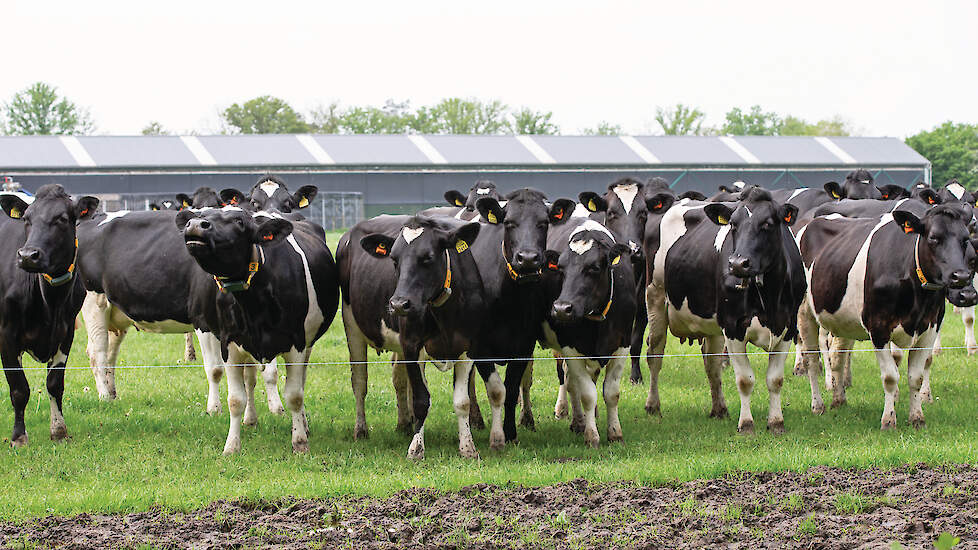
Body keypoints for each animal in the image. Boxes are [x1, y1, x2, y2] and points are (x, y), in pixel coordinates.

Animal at [0, 185, 97, 448]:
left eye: (61, 219)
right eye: (26, 219)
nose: (27, 255)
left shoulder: (66, 332)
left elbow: (55, 384)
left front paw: (59, 430)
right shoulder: (6, 333)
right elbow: (19, 388)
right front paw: (18, 437)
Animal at [175, 205, 340, 454]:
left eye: (239, 221)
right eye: (203, 214)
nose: (195, 225)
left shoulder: (297, 344)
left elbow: (294, 396)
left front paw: (300, 442)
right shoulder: (230, 345)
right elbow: (235, 399)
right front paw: (231, 446)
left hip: (308, 343)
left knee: (299, 381)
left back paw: (302, 424)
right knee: (250, 380)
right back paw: (250, 419)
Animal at [536, 217, 636, 448]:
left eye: (594, 267)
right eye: (560, 268)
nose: (561, 308)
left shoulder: (623, 345)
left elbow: (611, 393)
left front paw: (615, 433)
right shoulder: (570, 347)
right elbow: (587, 394)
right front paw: (592, 436)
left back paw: (578, 421)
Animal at [644, 190, 804, 436]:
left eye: (767, 224)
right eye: (733, 224)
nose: (738, 264)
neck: (768, 297)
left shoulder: (787, 327)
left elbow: (775, 380)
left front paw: (776, 422)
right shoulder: (733, 327)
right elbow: (745, 380)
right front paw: (746, 424)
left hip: (712, 325)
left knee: (712, 364)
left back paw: (719, 408)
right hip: (656, 299)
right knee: (655, 355)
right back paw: (653, 405)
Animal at [792, 204, 976, 432]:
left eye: (965, 239)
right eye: (934, 238)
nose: (961, 276)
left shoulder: (930, 329)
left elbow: (916, 377)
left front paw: (917, 418)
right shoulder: (879, 329)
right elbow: (890, 377)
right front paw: (888, 420)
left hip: (843, 320)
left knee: (837, 357)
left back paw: (839, 399)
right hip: (804, 312)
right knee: (811, 359)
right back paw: (818, 405)